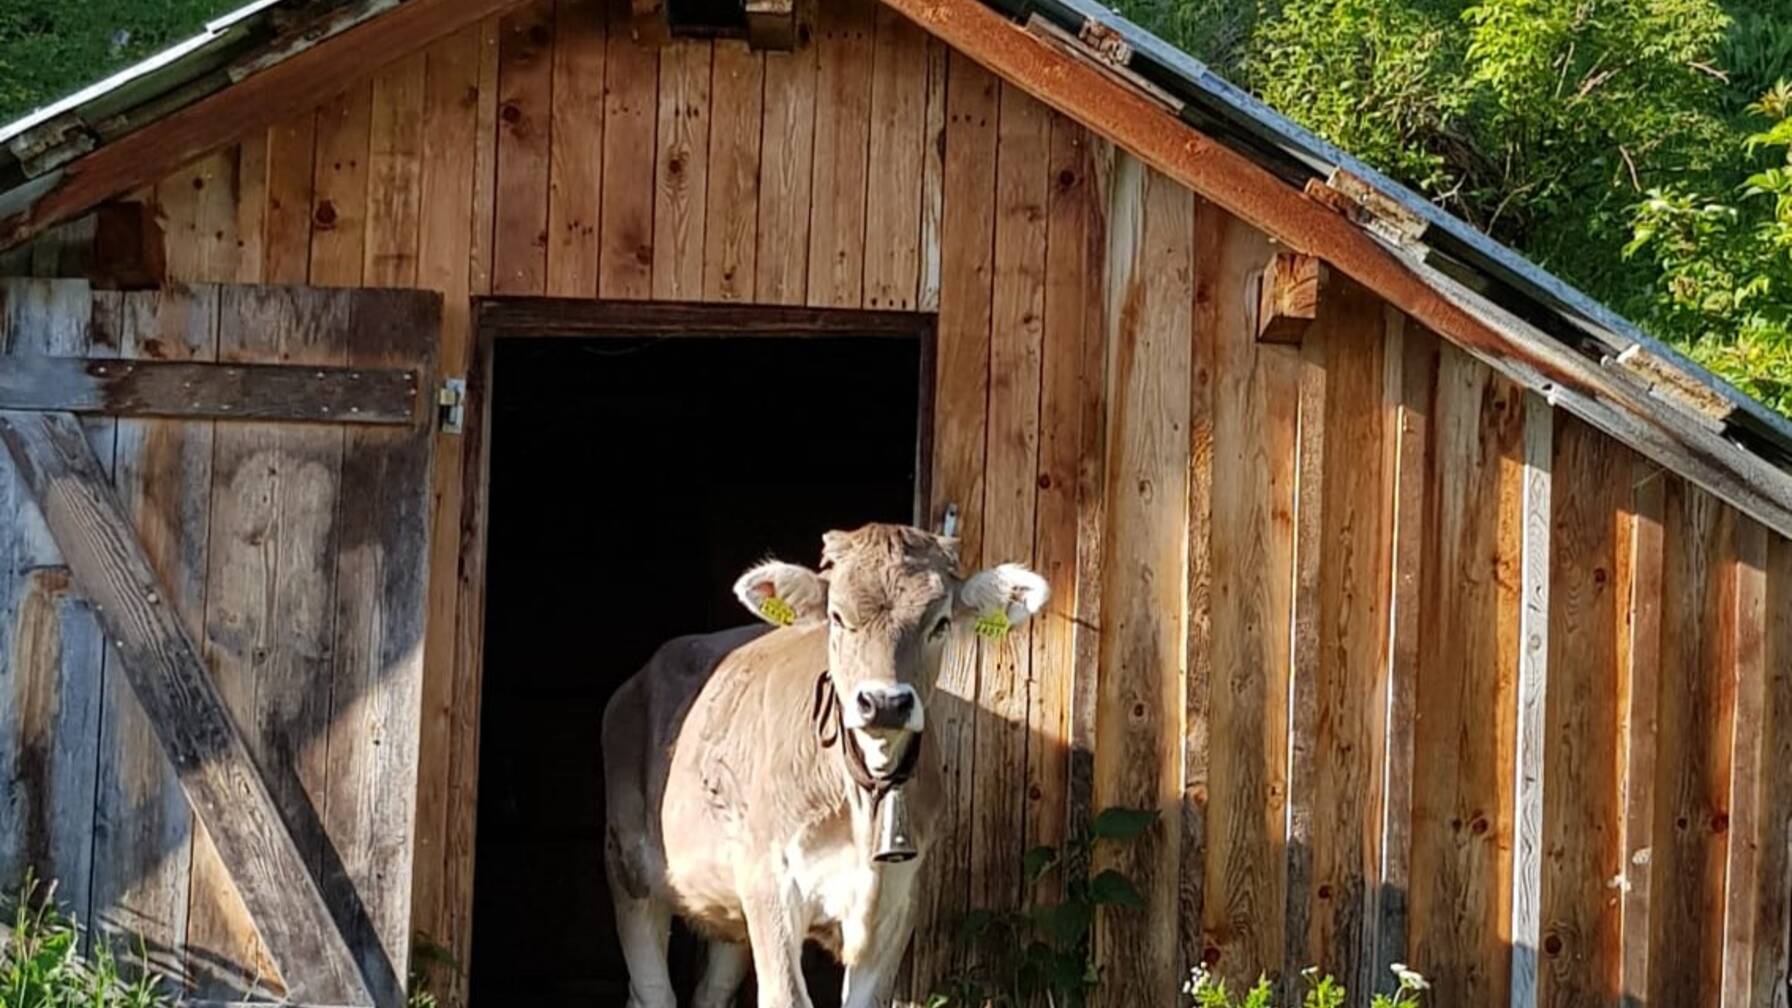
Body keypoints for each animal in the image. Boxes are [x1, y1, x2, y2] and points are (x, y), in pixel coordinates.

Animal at [600, 522, 1049, 1008]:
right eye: (837, 617)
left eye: (941, 623)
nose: (885, 703)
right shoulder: (770, 881)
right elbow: (786, 996)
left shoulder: (898, 901)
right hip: (629, 871)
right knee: (652, 990)